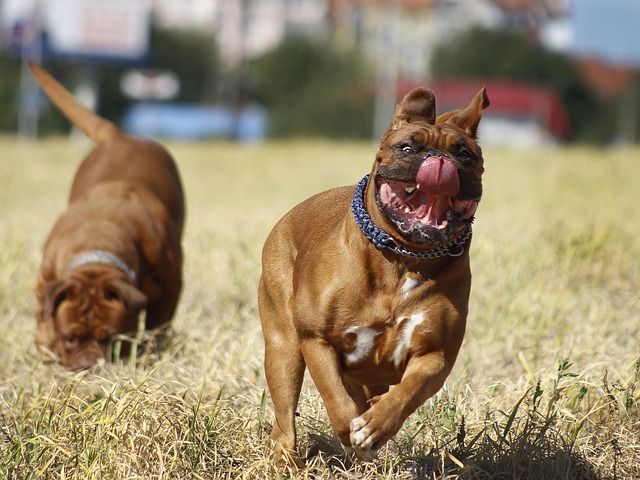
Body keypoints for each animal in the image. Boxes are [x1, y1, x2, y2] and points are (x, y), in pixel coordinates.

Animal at [31, 63, 185, 370]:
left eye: (111, 338)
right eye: (70, 338)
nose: (89, 363)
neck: (99, 242)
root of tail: (121, 137)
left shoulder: (170, 284)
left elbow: (158, 323)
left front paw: (151, 350)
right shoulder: (46, 277)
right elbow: (44, 309)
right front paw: (45, 339)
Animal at [258, 85, 488, 464]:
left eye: (465, 154)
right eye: (407, 147)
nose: (439, 159)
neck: (404, 257)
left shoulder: (435, 355)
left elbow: (407, 393)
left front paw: (376, 426)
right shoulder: (316, 341)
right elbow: (337, 400)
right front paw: (352, 433)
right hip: (284, 350)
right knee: (284, 422)